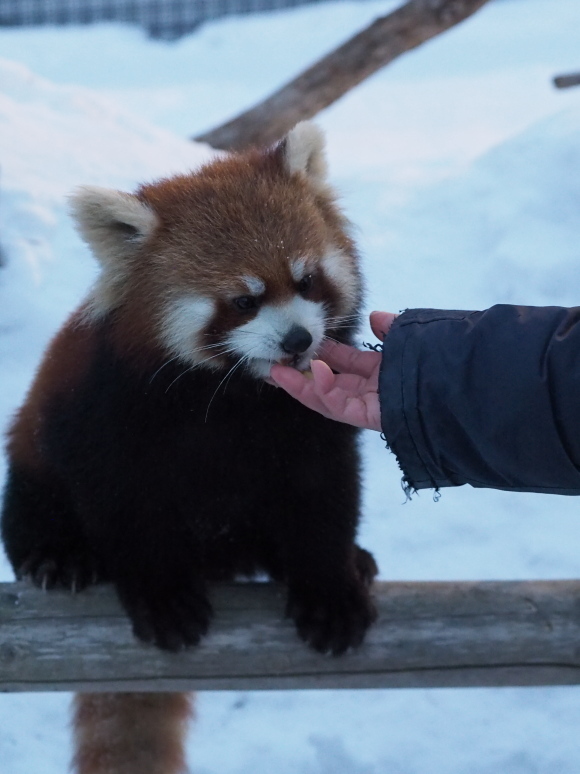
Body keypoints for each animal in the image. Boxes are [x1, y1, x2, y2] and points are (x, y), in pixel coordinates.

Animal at [1, 124, 376, 772]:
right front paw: (164, 598)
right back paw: (57, 556)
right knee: (32, 501)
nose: (298, 339)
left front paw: (331, 587)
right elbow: (126, 507)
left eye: (306, 280)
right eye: (245, 300)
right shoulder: (111, 413)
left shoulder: (308, 426)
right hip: (33, 445)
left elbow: (323, 495)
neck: (237, 395)